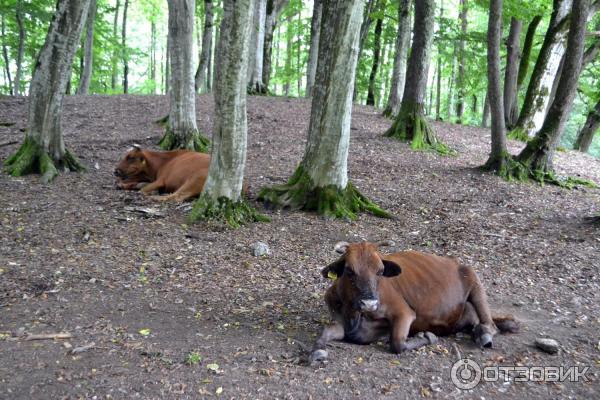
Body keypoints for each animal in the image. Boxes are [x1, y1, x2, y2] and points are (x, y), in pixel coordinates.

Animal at [310, 242, 516, 364]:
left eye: (380, 271)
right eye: (349, 271)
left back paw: (485, 334)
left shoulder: (404, 312)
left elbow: (397, 343)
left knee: (490, 324)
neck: (356, 316)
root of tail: (456, 262)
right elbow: (326, 331)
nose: (369, 303)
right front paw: (318, 351)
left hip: (474, 278)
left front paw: (427, 336)